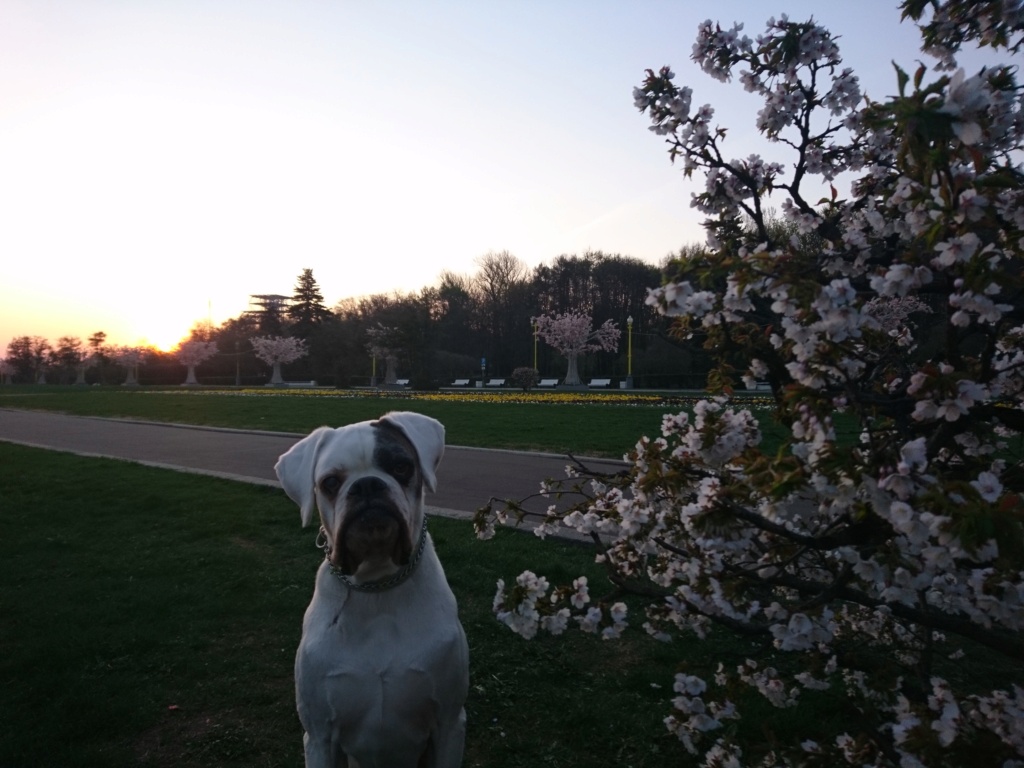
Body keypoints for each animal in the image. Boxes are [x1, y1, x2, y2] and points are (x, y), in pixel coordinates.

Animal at [272, 411, 464, 765]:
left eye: (401, 466)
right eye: (330, 483)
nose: (367, 485)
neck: (377, 587)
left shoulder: (449, 725)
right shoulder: (319, 737)